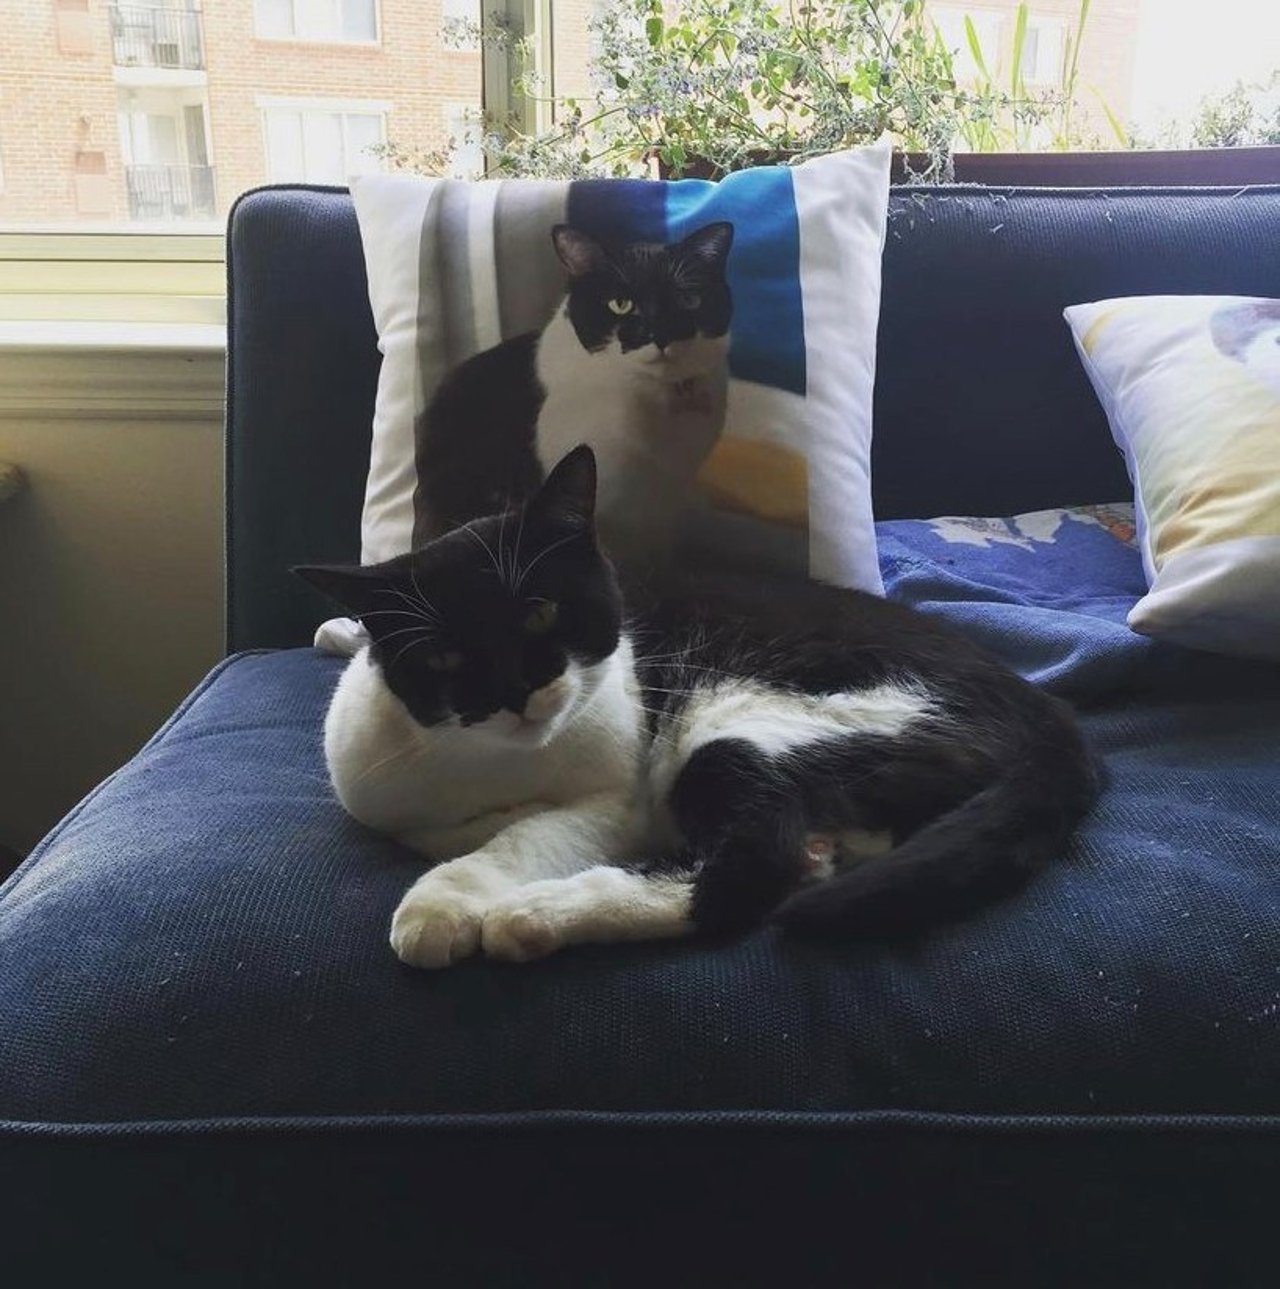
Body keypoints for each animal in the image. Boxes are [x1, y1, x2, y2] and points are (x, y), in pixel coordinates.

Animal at [297, 448, 1098, 964]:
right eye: (445, 657)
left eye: (541, 614)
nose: (517, 693)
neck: (490, 767)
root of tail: (1050, 718)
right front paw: (337, 633)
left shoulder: (612, 800)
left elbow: (523, 838)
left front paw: (443, 901)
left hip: (755, 726)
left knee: (753, 868)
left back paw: (536, 917)